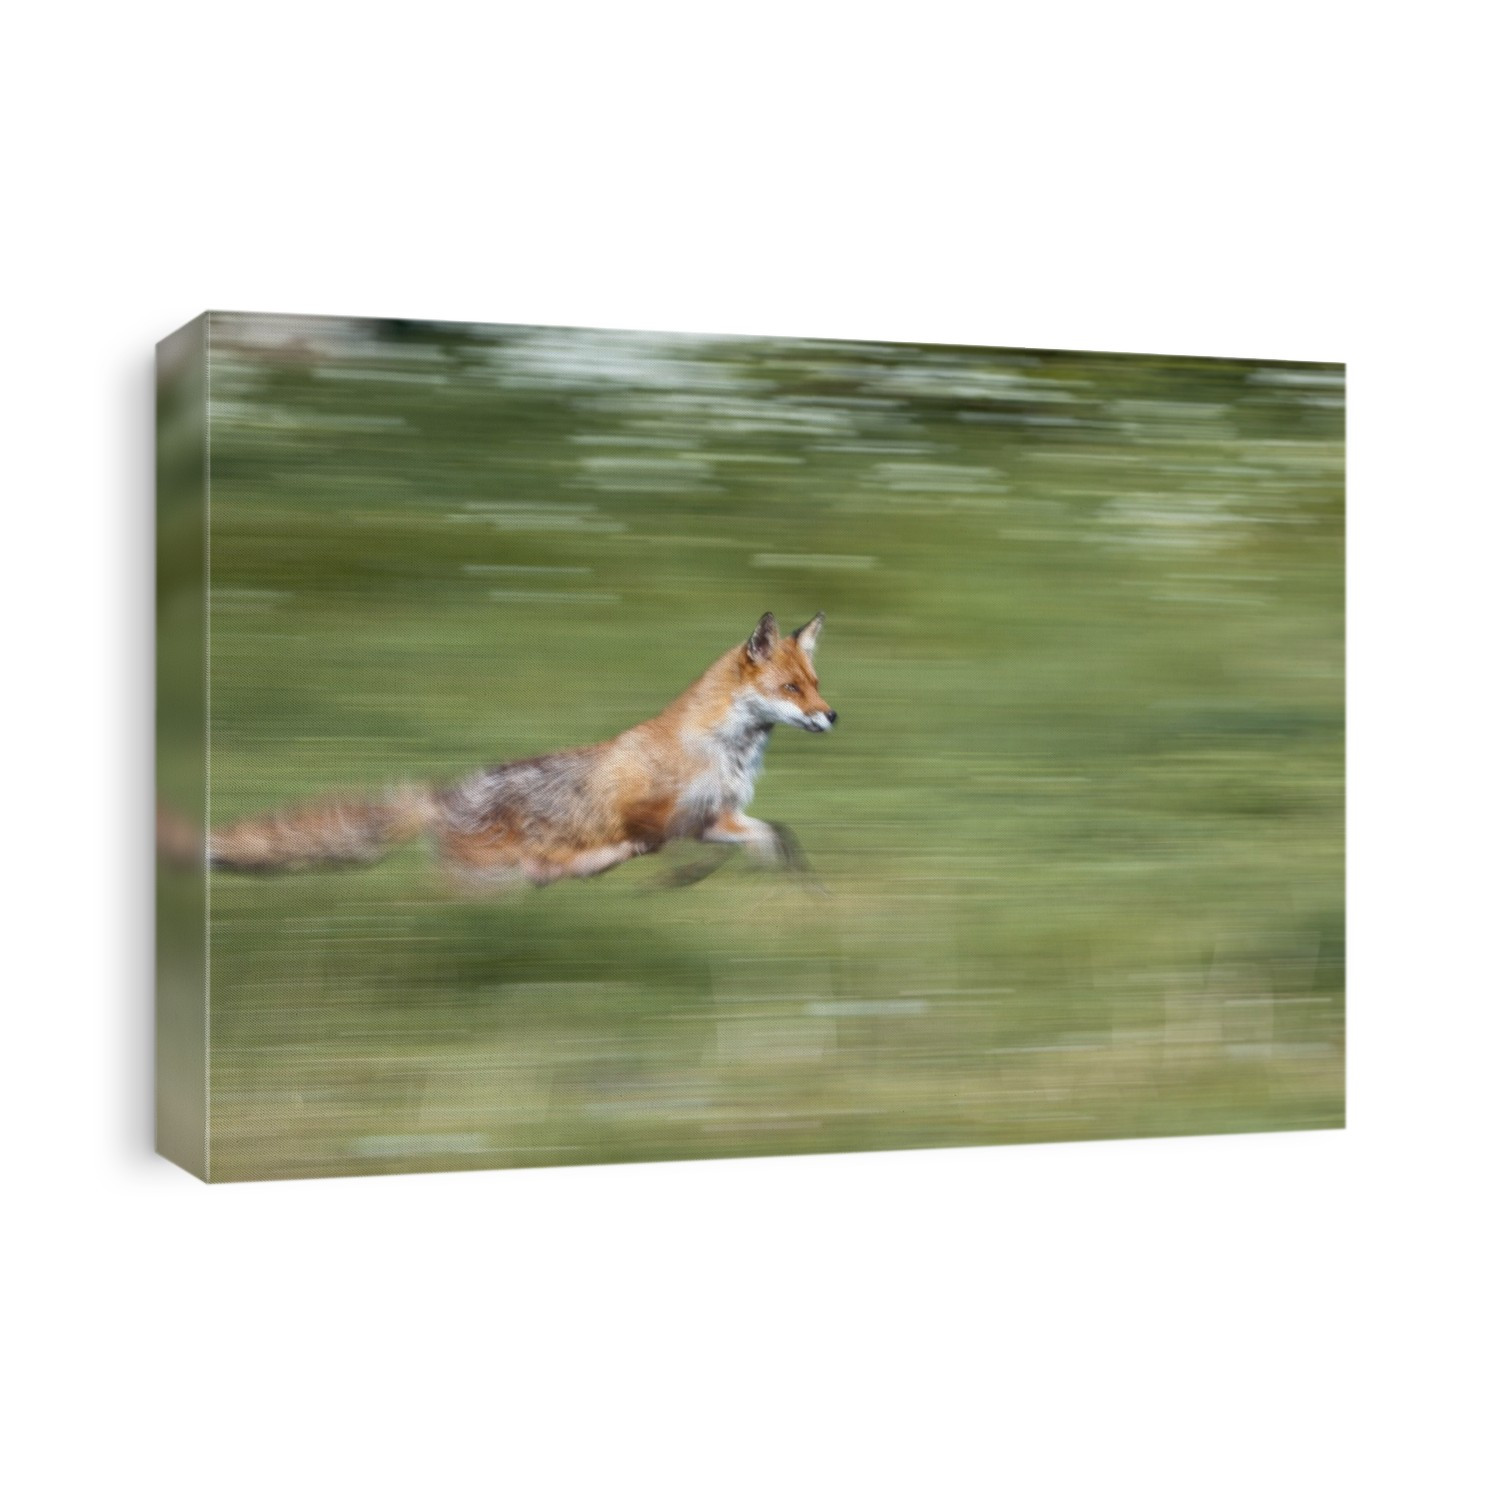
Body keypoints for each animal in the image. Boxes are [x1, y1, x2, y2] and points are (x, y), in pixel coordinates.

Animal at [201, 610, 837, 890]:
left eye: (816, 683)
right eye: (791, 688)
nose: (832, 715)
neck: (722, 754)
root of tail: (444, 793)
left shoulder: (716, 818)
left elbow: (773, 835)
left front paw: (792, 872)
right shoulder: (656, 817)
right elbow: (667, 844)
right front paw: (673, 877)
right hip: (488, 873)